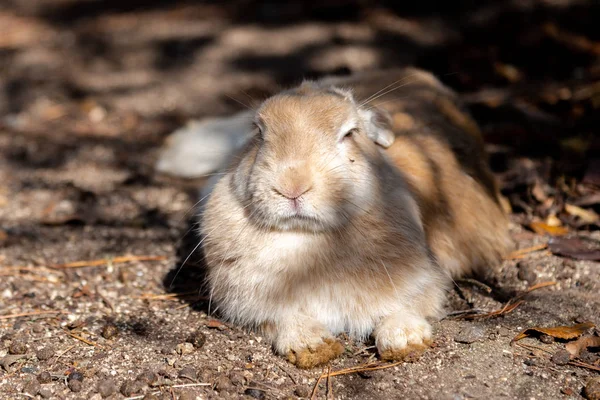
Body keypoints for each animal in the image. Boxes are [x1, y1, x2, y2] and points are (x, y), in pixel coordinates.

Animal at [164, 68, 510, 368]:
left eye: (349, 134)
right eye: (259, 132)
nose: (292, 185)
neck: (310, 245)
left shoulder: (425, 279)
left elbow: (407, 308)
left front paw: (405, 340)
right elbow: (284, 318)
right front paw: (313, 347)